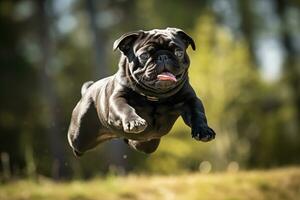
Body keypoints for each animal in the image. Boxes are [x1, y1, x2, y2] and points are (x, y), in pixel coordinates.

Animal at [67, 27, 216, 156]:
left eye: (178, 53)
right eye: (144, 55)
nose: (163, 56)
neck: (155, 97)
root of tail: (88, 90)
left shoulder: (190, 99)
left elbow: (197, 113)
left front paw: (204, 130)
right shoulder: (117, 99)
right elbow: (124, 108)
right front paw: (134, 122)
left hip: (145, 144)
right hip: (79, 135)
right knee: (76, 144)